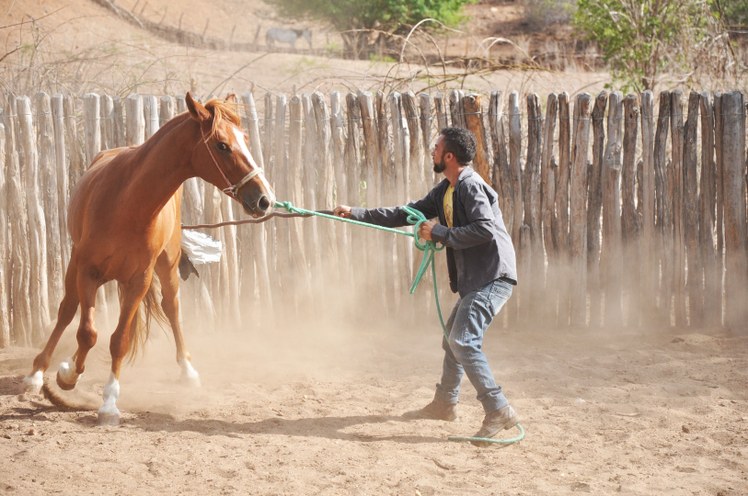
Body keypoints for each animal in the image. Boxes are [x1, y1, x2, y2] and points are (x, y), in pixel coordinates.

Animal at [22, 92, 274, 422]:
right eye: (222, 144)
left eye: (244, 138)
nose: (264, 199)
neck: (128, 202)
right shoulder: (87, 270)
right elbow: (87, 332)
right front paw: (67, 375)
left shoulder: (138, 280)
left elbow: (118, 340)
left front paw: (109, 402)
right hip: (76, 267)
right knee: (67, 310)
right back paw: (38, 373)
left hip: (166, 267)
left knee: (172, 308)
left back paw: (188, 370)